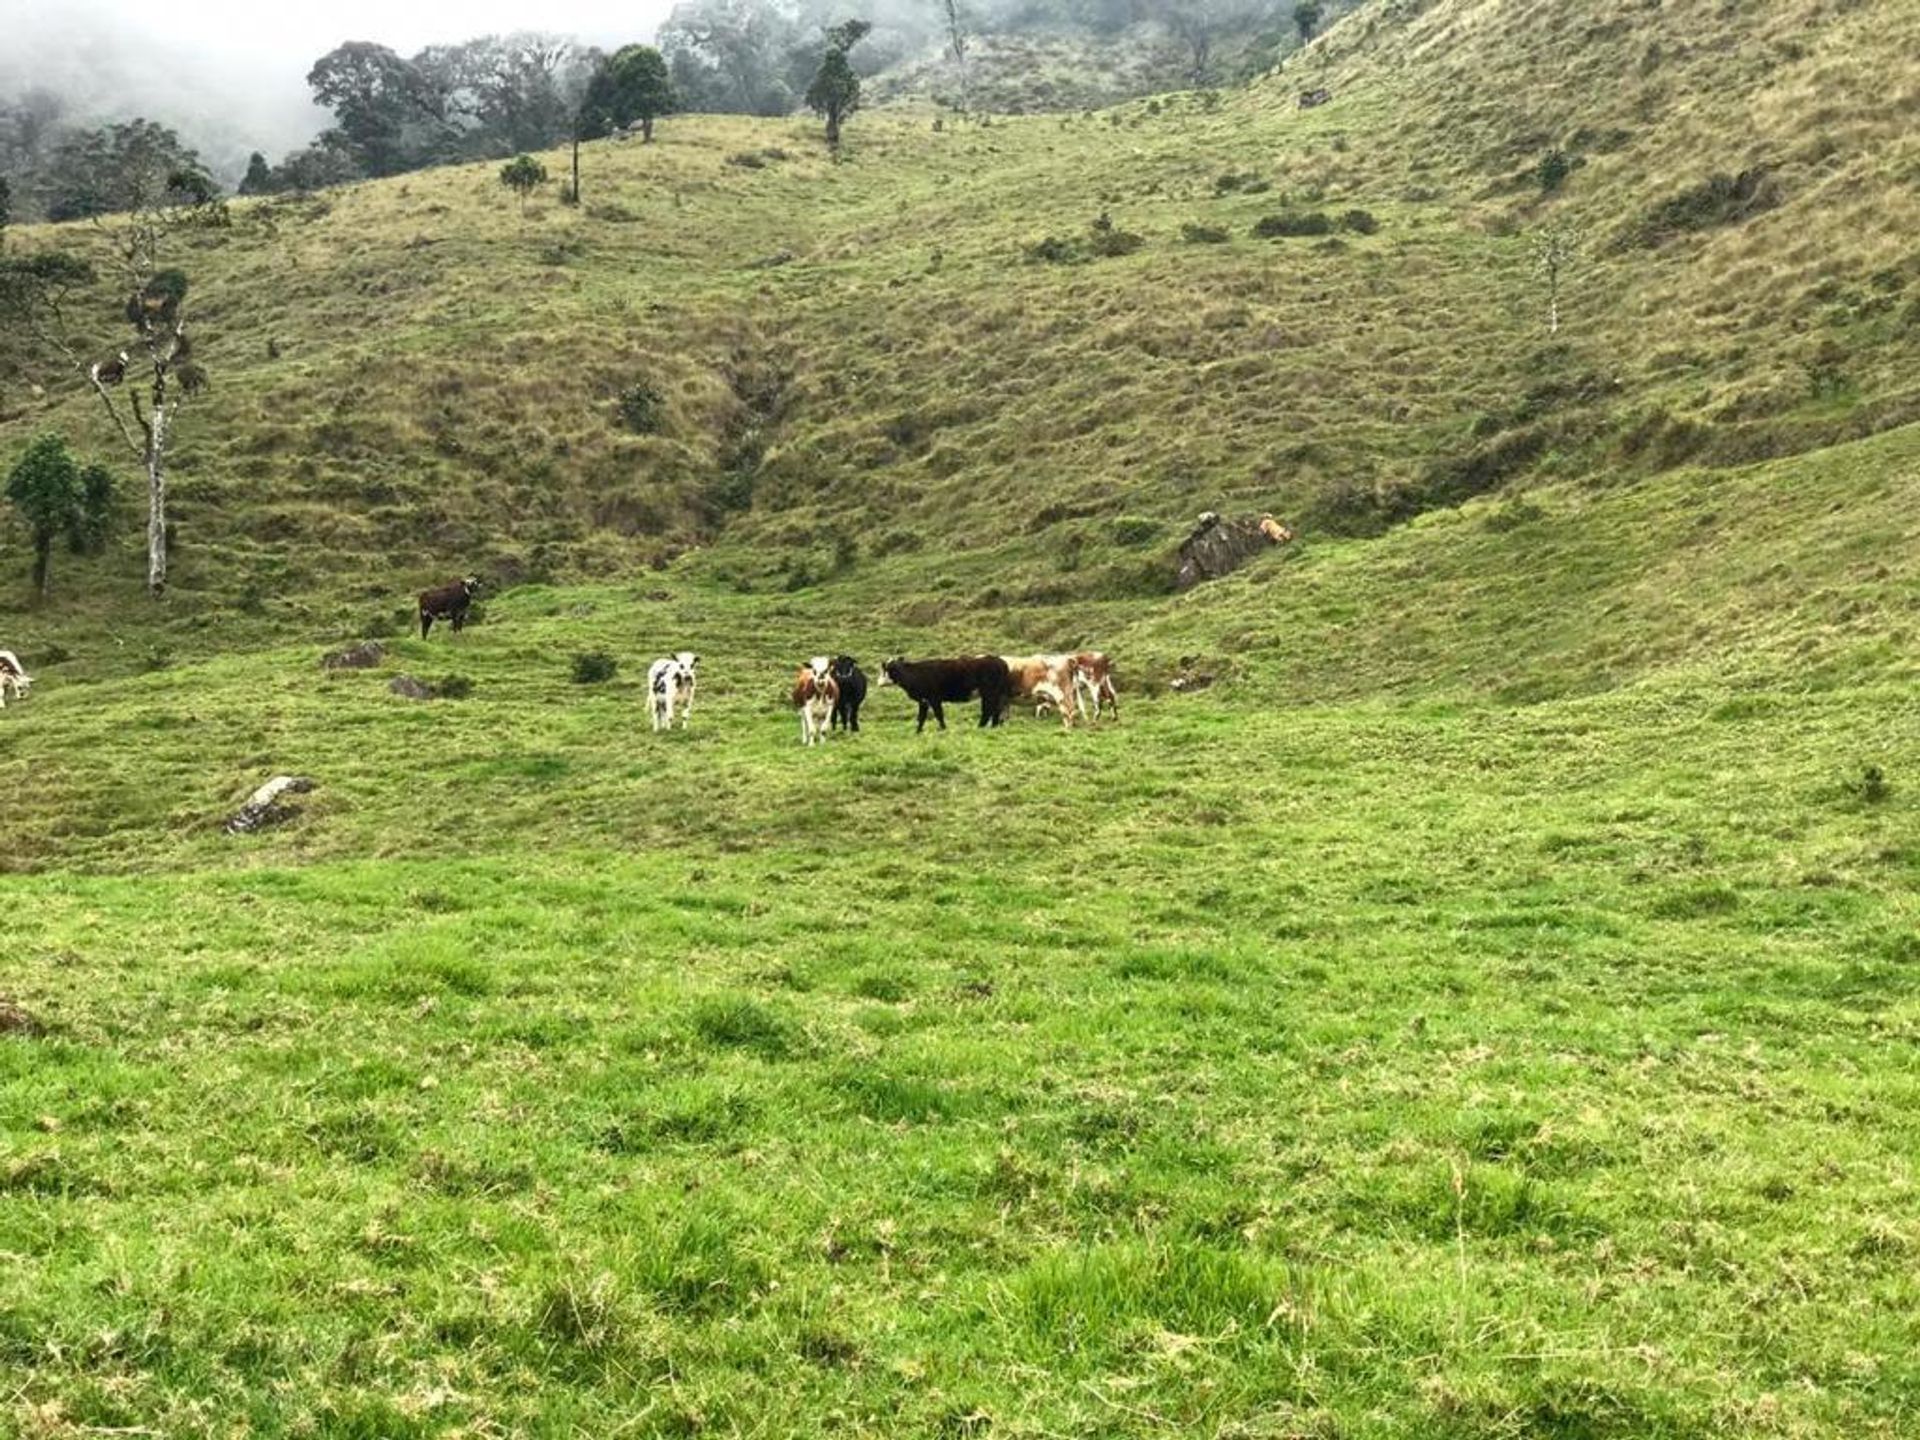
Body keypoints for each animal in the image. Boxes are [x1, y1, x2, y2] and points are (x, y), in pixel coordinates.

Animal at [879, 664, 1013, 737]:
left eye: (888, 670)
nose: (879, 682)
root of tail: (1000, 662)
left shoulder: (934, 698)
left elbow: (939, 714)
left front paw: (943, 729)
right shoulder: (924, 700)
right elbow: (921, 717)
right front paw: (918, 732)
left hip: (989, 692)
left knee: (988, 710)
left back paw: (981, 727)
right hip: (993, 694)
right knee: (994, 710)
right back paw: (993, 726)